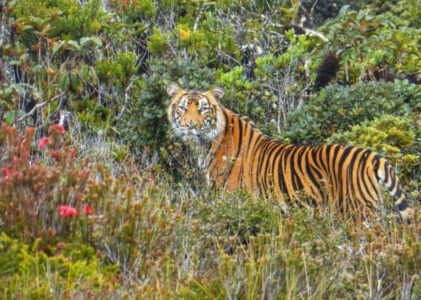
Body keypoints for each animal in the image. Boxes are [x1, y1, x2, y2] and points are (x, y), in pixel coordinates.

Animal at [166, 83, 412, 221]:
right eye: (183, 108)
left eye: (203, 109)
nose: (189, 125)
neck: (207, 143)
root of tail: (371, 156)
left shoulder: (232, 201)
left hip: (359, 213)